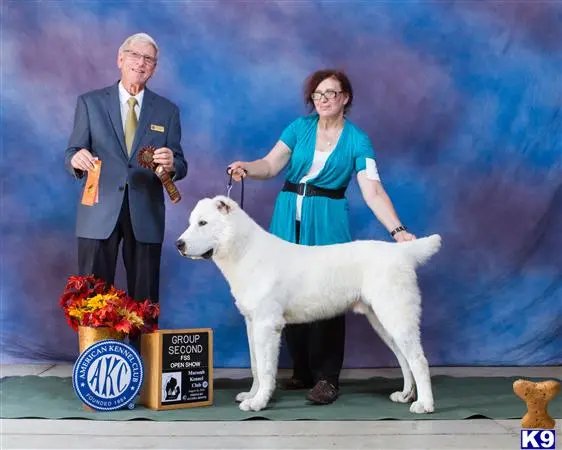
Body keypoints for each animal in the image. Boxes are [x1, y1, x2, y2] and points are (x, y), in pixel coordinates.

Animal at [177, 195, 440, 414]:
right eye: (191, 222)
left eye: (203, 223)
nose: (178, 244)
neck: (245, 251)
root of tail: (402, 252)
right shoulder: (251, 323)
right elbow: (255, 365)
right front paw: (251, 395)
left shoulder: (267, 325)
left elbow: (265, 369)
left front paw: (258, 403)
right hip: (382, 321)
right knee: (404, 358)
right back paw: (405, 395)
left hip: (396, 315)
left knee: (419, 360)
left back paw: (424, 405)